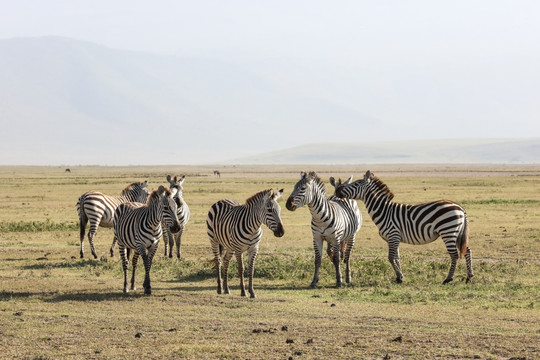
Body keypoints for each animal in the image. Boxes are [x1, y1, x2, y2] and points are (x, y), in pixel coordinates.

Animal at [336, 170, 474, 286]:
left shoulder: (393, 235)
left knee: (454, 255)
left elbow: (391, 258)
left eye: (357, 183)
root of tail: (460, 208)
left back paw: (448, 279)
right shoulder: (394, 238)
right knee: (467, 251)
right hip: (457, 232)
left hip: (448, 231)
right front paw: (400, 276)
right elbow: (396, 257)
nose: (337, 191)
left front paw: (399, 277)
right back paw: (469, 277)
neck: (384, 211)